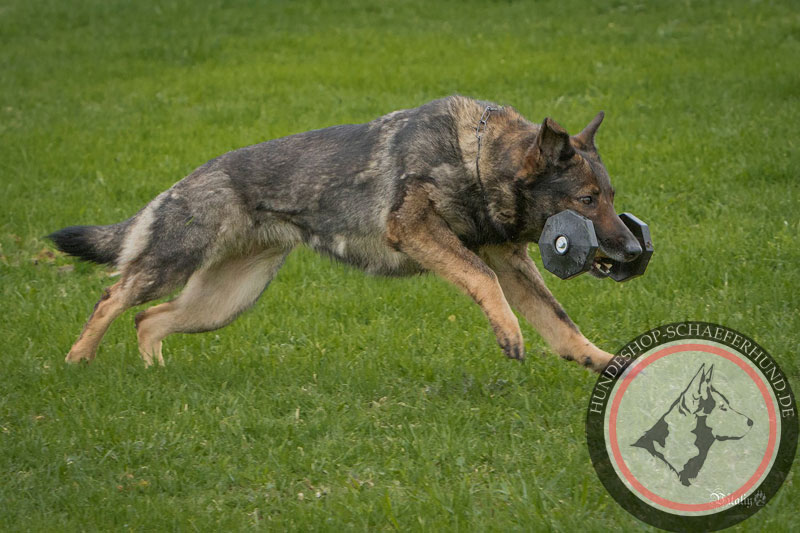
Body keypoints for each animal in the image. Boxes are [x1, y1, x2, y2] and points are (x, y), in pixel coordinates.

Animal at [48, 95, 644, 370]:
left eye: (612, 198)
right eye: (588, 201)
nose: (635, 249)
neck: (476, 158)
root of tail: (182, 181)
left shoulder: (511, 261)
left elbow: (561, 324)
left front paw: (605, 364)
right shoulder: (418, 231)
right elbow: (483, 280)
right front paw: (508, 331)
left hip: (223, 302)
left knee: (148, 320)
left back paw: (155, 372)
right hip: (174, 266)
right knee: (113, 297)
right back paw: (78, 361)